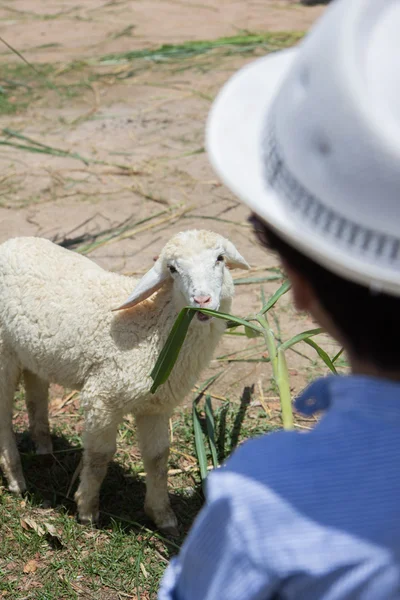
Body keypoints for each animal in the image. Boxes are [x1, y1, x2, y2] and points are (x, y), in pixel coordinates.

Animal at [0, 230, 247, 536]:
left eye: (220, 259)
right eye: (173, 269)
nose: (201, 300)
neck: (154, 328)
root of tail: (11, 243)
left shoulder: (156, 406)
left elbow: (158, 458)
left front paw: (162, 515)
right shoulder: (102, 396)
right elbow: (99, 455)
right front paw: (87, 509)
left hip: (31, 352)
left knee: (36, 390)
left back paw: (44, 448)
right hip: (3, 352)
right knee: (3, 416)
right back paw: (15, 478)